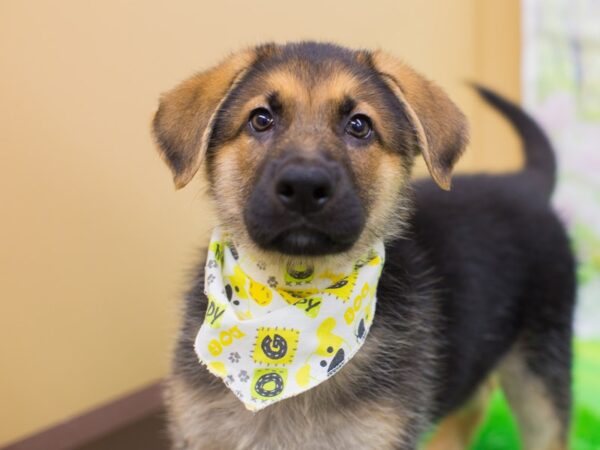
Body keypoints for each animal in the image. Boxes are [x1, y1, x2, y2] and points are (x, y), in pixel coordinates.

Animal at [152, 40, 576, 448]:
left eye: (359, 125)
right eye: (260, 119)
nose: (304, 186)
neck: (289, 296)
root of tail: (525, 183)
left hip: (541, 371)